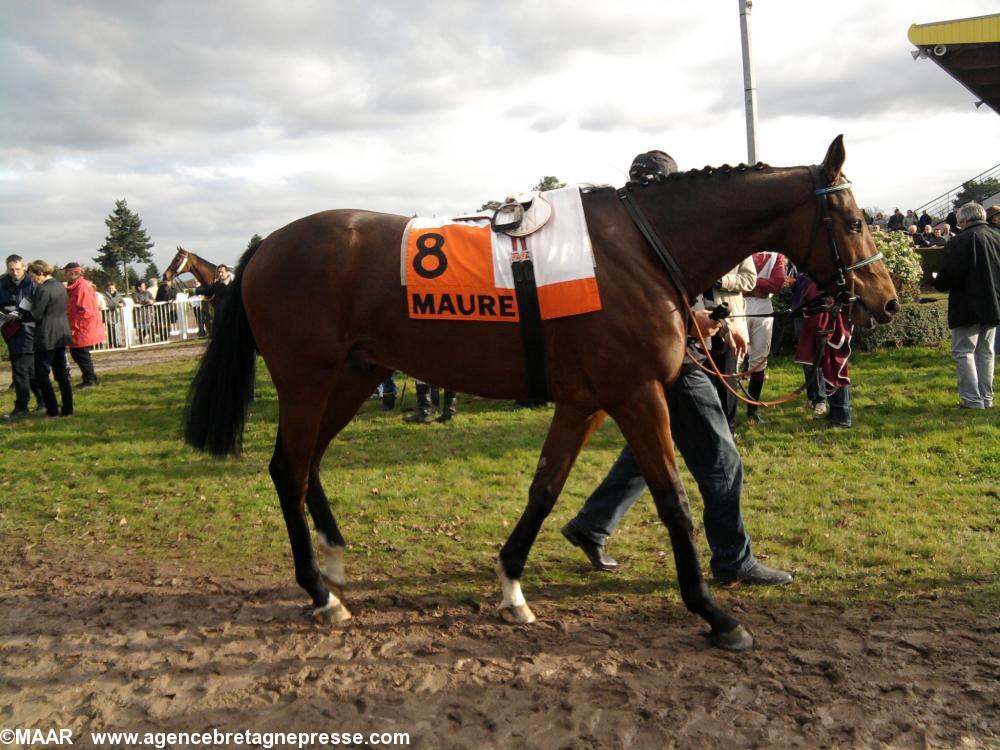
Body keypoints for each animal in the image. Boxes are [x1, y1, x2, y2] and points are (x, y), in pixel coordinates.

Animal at [184, 137, 896, 652]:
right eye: (854, 220)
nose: (885, 301)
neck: (639, 250)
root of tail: (262, 250)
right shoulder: (636, 393)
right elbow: (673, 500)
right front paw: (714, 613)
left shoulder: (586, 400)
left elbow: (546, 488)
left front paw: (511, 584)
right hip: (308, 379)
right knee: (288, 467)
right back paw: (318, 592)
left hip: (353, 376)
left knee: (308, 465)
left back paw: (332, 561)